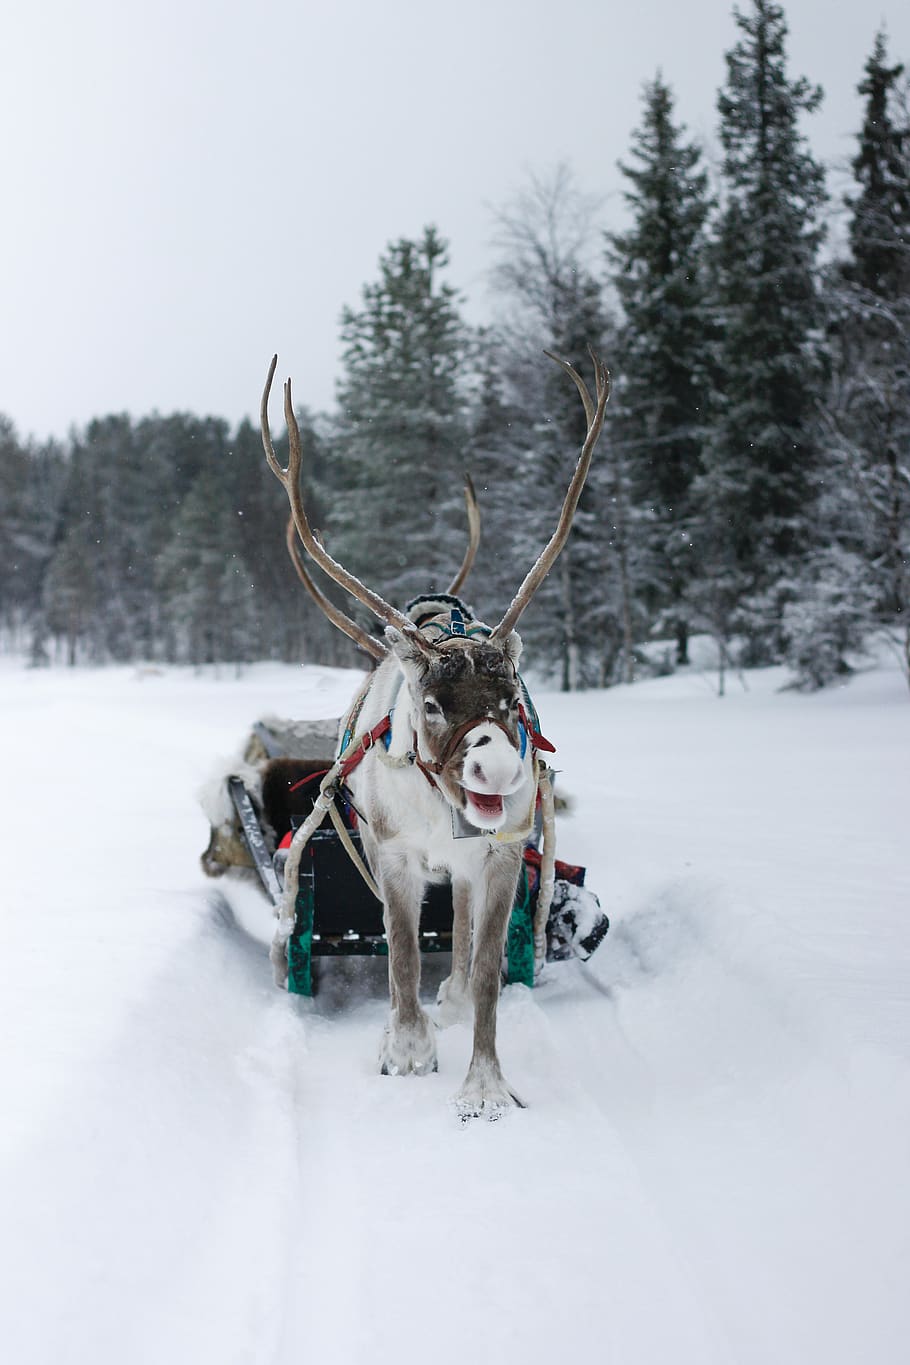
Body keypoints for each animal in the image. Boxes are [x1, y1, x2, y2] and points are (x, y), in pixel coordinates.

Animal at [260, 349, 609, 1119]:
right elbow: (401, 954)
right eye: (431, 703)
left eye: (510, 698)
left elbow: (483, 968)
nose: (499, 773)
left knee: (465, 933)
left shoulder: (501, 857)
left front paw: (484, 1085)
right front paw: (407, 1049)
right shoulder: (392, 856)